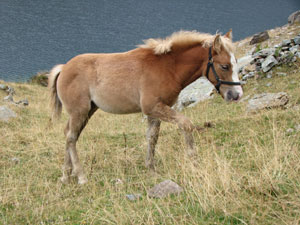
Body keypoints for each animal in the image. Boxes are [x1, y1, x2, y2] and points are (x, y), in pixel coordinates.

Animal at [48, 29, 243, 184]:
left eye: (235, 63)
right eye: (224, 66)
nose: (236, 95)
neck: (167, 67)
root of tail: (64, 68)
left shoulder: (156, 111)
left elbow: (152, 137)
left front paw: (151, 169)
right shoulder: (153, 107)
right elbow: (185, 124)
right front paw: (193, 159)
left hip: (87, 111)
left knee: (69, 135)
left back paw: (66, 175)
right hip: (79, 111)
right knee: (71, 137)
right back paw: (81, 176)